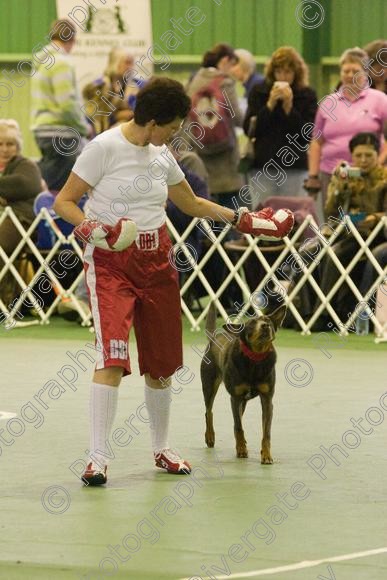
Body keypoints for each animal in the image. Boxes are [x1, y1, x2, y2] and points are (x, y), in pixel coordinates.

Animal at [200, 304, 288, 462]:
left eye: (267, 320)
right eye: (251, 323)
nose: (265, 326)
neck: (255, 358)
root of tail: (214, 337)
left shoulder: (267, 399)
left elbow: (266, 432)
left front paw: (266, 455)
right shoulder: (235, 398)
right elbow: (238, 427)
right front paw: (241, 450)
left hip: (243, 401)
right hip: (209, 385)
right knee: (209, 412)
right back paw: (210, 437)